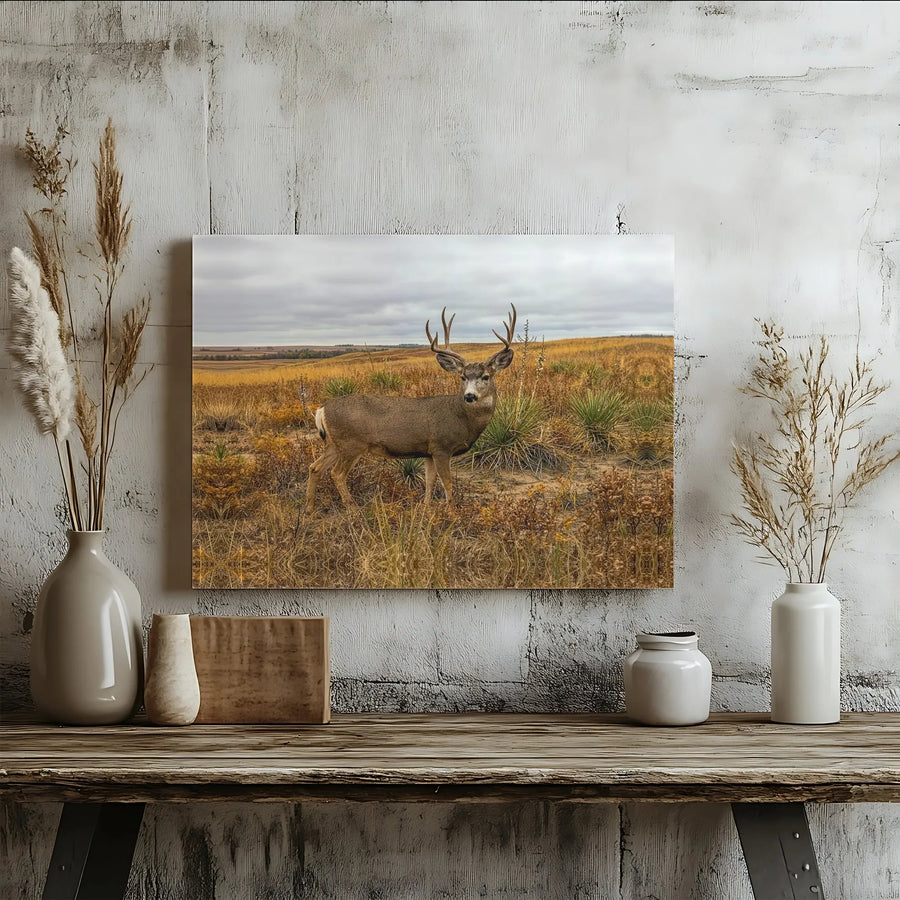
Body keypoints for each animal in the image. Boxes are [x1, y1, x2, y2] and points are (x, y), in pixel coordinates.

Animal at [306, 304, 517, 514]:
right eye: (462, 377)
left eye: (486, 376)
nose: (470, 396)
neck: (461, 417)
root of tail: (322, 409)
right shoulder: (441, 447)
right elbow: (447, 482)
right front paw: (452, 512)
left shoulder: (429, 451)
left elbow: (430, 481)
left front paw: (426, 508)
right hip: (352, 443)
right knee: (337, 473)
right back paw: (353, 508)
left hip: (335, 443)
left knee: (315, 467)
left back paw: (310, 509)